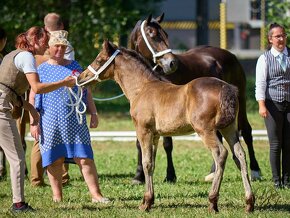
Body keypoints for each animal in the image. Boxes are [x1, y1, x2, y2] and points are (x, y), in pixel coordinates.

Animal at [76, 40, 254, 212]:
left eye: (99, 60)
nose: (80, 78)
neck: (142, 88)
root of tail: (226, 87)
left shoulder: (144, 131)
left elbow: (146, 163)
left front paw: (146, 202)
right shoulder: (155, 135)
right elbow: (152, 164)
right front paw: (149, 200)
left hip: (206, 130)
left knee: (220, 154)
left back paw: (212, 202)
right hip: (228, 128)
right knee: (239, 155)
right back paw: (249, 202)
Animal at [129, 13, 260, 183]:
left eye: (166, 34)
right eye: (152, 34)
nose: (172, 63)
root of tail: (230, 55)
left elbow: (167, 143)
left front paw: (170, 175)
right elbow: (140, 144)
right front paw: (138, 176)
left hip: (241, 103)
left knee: (246, 131)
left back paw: (255, 171)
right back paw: (213, 172)